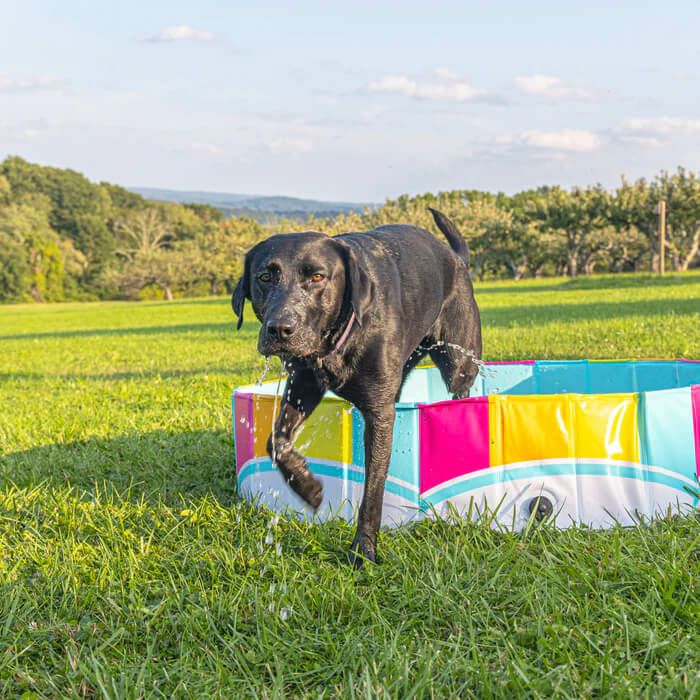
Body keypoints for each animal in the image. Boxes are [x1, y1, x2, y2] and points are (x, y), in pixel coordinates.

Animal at [232, 209, 481, 566]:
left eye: (317, 277)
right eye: (265, 276)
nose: (280, 329)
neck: (338, 338)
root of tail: (457, 258)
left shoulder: (379, 415)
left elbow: (373, 491)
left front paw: (363, 550)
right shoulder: (303, 384)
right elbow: (275, 441)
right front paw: (307, 486)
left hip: (458, 359)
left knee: (462, 388)